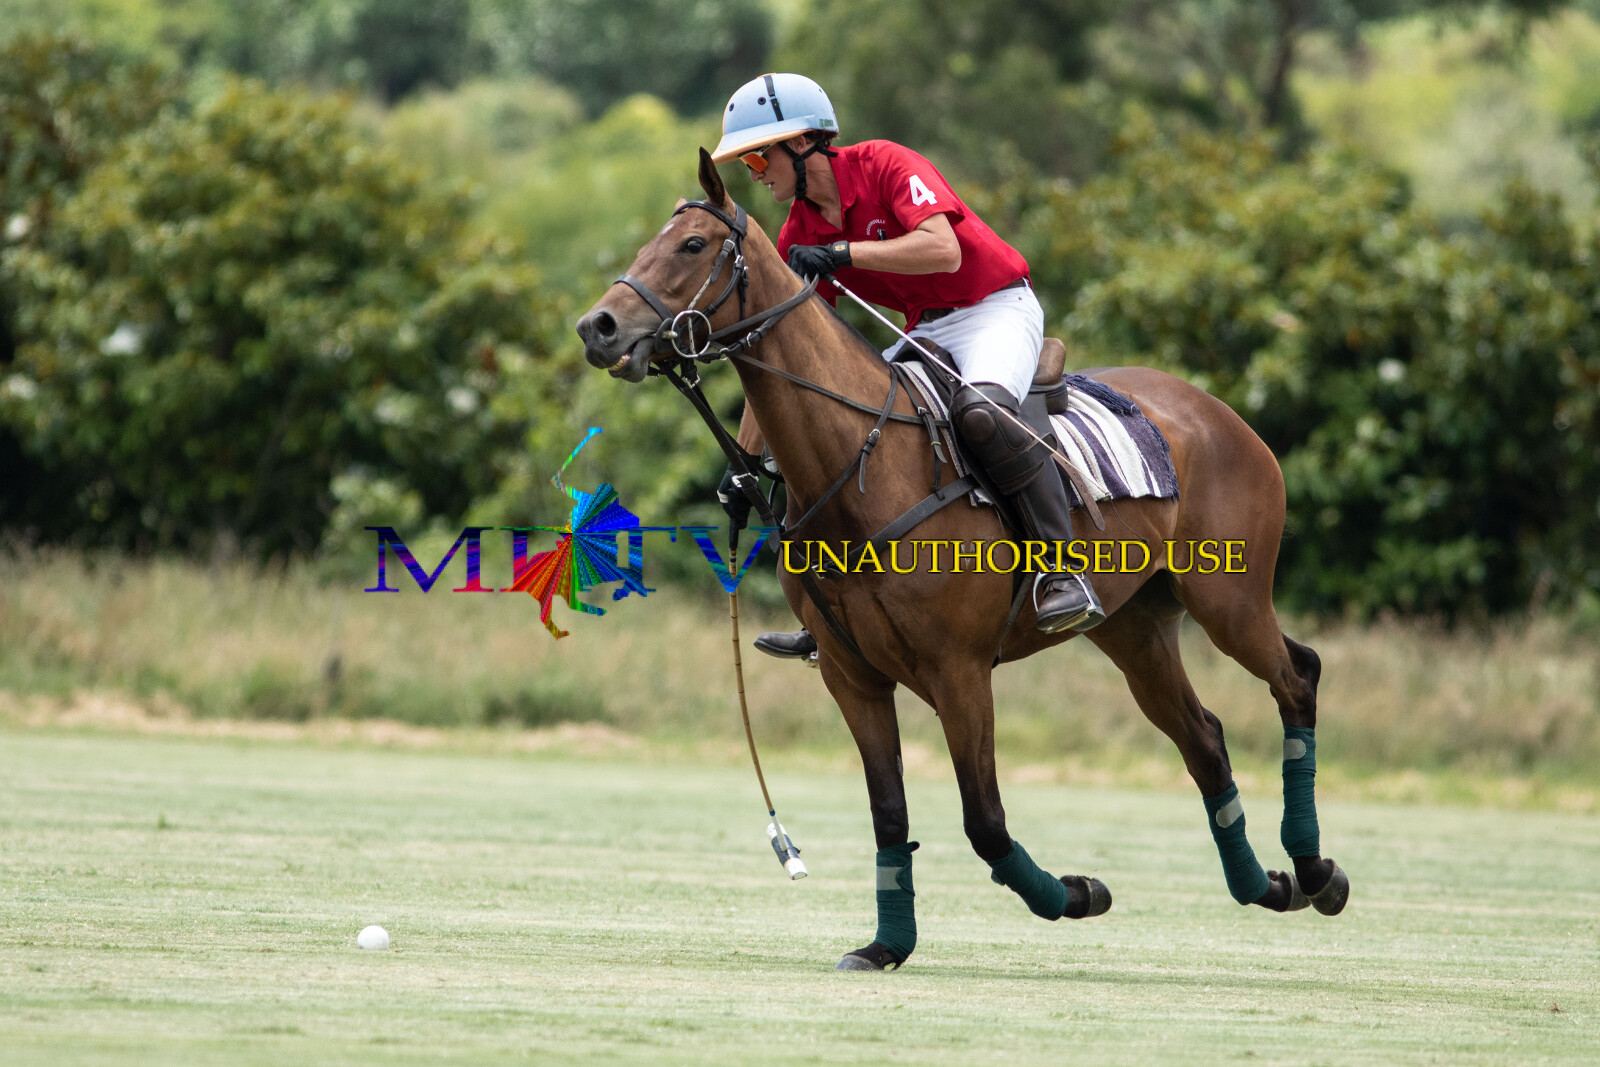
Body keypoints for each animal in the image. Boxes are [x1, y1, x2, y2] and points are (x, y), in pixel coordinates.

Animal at [575, 149, 1347, 971]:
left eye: (692, 245)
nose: (597, 326)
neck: (860, 468)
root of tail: (1222, 412)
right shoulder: (852, 675)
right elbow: (889, 815)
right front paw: (885, 945)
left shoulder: (960, 669)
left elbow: (984, 819)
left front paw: (1075, 894)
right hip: (1134, 625)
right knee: (1204, 738)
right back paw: (1265, 884)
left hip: (1227, 596)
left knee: (1296, 675)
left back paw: (1314, 869)